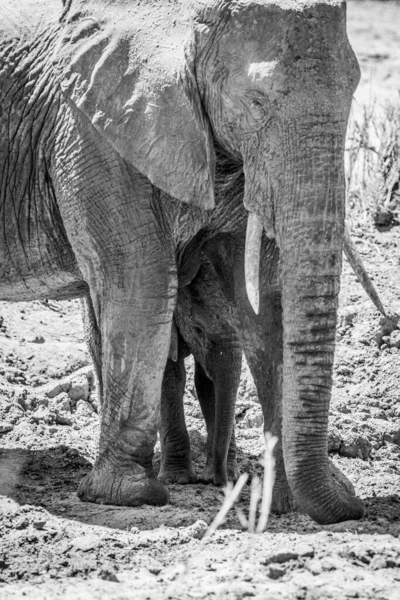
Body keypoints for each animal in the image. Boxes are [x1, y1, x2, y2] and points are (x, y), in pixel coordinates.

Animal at [159, 245, 241, 488]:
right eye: (198, 329)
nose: (222, 483)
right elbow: (170, 377)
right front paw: (178, 479)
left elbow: (208, 385)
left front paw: (221, 474)